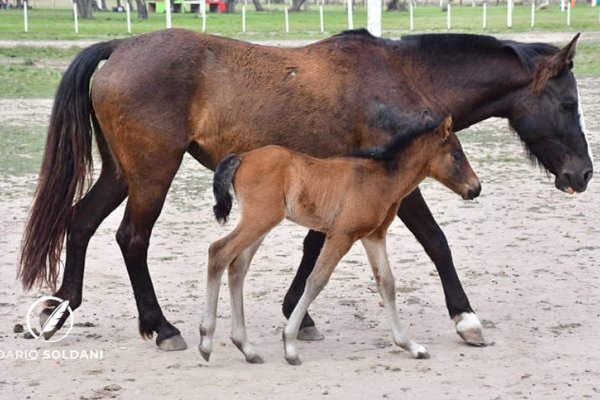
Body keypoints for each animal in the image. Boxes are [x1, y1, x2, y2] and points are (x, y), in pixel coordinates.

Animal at [18, 28, 592, 350]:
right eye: (568, 104)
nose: (583, 175)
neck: (405, 78)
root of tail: (120, 47)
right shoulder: (399, 182)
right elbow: (437, 243)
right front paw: (466, 319)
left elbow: (315, 245)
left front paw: (299, 311)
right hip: (151, 175)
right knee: (132, 239)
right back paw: (161, 327)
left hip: (122, 173)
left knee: (81, 223)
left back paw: (57, 309)